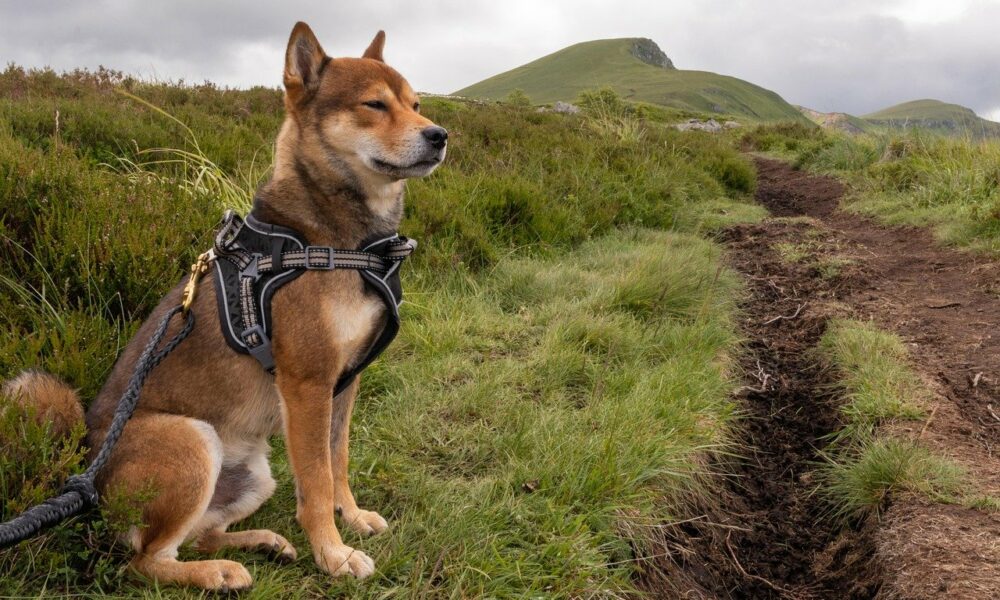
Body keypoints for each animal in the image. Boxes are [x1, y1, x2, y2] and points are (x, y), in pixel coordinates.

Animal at [3, 19, 448, 592]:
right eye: (374, 104)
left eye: (416, 104)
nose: (440, 135)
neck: (336, 241)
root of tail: (84, 463)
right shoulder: (307, 385)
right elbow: (317, 485)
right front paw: (333, 554)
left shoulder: (345, 384)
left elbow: (339, 463)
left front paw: (352, 518)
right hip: (193, 441)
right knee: (145, 561)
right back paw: (217, 572)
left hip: (254, 474)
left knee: (197, 537)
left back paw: (260, 544)